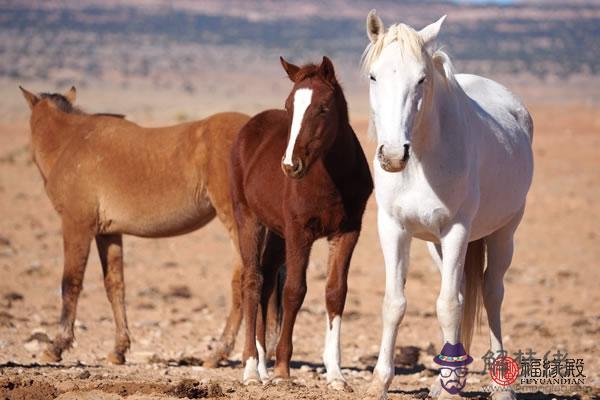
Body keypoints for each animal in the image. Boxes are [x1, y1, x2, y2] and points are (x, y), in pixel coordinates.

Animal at [18, 86, 282, 368]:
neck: (70, 143)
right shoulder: (108, 234)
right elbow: (115, 285)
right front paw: (118, 350)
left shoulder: (76, 225)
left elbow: (71, 283)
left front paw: (56, 346)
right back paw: (267, 353)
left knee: (245, 281)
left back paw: (219, 353)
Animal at [232, 57, 372, 390]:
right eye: (288, 106)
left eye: (323, 108)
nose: (290, 165)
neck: (331, 178)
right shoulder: (300, 232)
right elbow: (294, 290)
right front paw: (283, 369)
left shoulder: (348, 232)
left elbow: (335, 292)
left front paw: (336, 374)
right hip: (249, 219)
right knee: (252, 282)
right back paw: (252, 368)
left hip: (276, 232)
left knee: (267, 282)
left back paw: (263, 368)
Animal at [360, 10, 536, 398]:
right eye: (373, 76)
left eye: (421, 79)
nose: (392, 155)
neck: (421, 161)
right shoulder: (393, 229)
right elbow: (395, 303)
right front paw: (380, 381)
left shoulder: (456, 230)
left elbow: (449, 307)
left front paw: (450, 384)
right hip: (436, 246)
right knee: (462, 290)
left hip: (504, 232)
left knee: (491, 292)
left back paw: (498, 385)